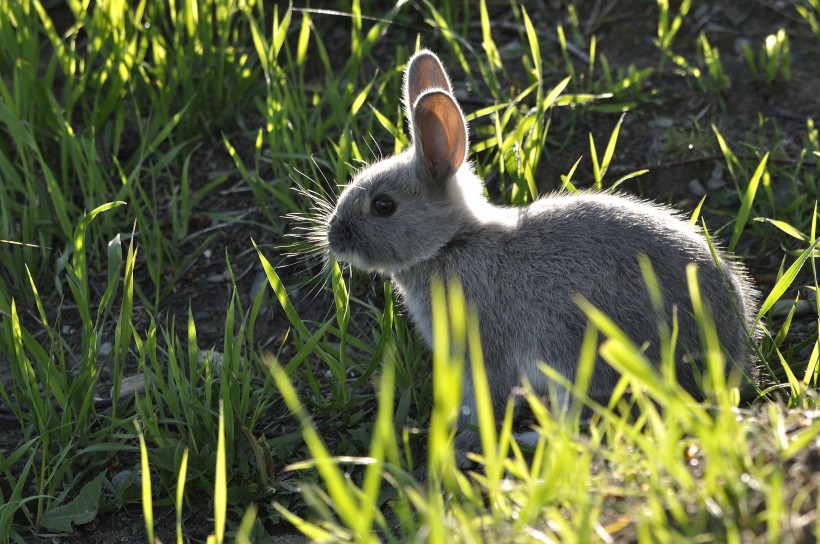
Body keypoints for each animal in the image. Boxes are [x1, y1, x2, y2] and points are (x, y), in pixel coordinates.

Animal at [324, 50, 760, 450]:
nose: (333, 235)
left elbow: (485, 400)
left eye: (383, 205)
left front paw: (462, 444)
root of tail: (729, 356)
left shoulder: (484, 351)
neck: (450, 244)